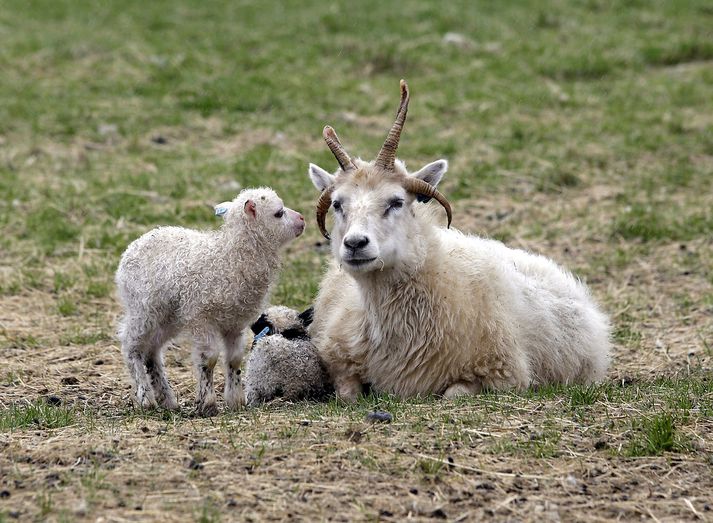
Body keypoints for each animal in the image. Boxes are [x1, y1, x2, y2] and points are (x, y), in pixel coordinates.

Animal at [116, 186, 304, 416]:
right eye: (279, 213)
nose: (302, 219)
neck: (231, 257)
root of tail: (133, 246)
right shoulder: (201, 317)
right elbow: (210, 359)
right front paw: (207, 403)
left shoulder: (235, 321)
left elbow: (234, 359)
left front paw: (236, 401)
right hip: (143, 309)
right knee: (131, 345)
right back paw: (146, 398)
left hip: (169, 315)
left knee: (152, 350)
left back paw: (167, 400)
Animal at [304, 81, 608, 402]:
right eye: (337, 204)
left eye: (396, 201)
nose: (355, 244)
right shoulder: (338, 358)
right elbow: (347, 393)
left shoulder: (502, 373)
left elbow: (454, 393)